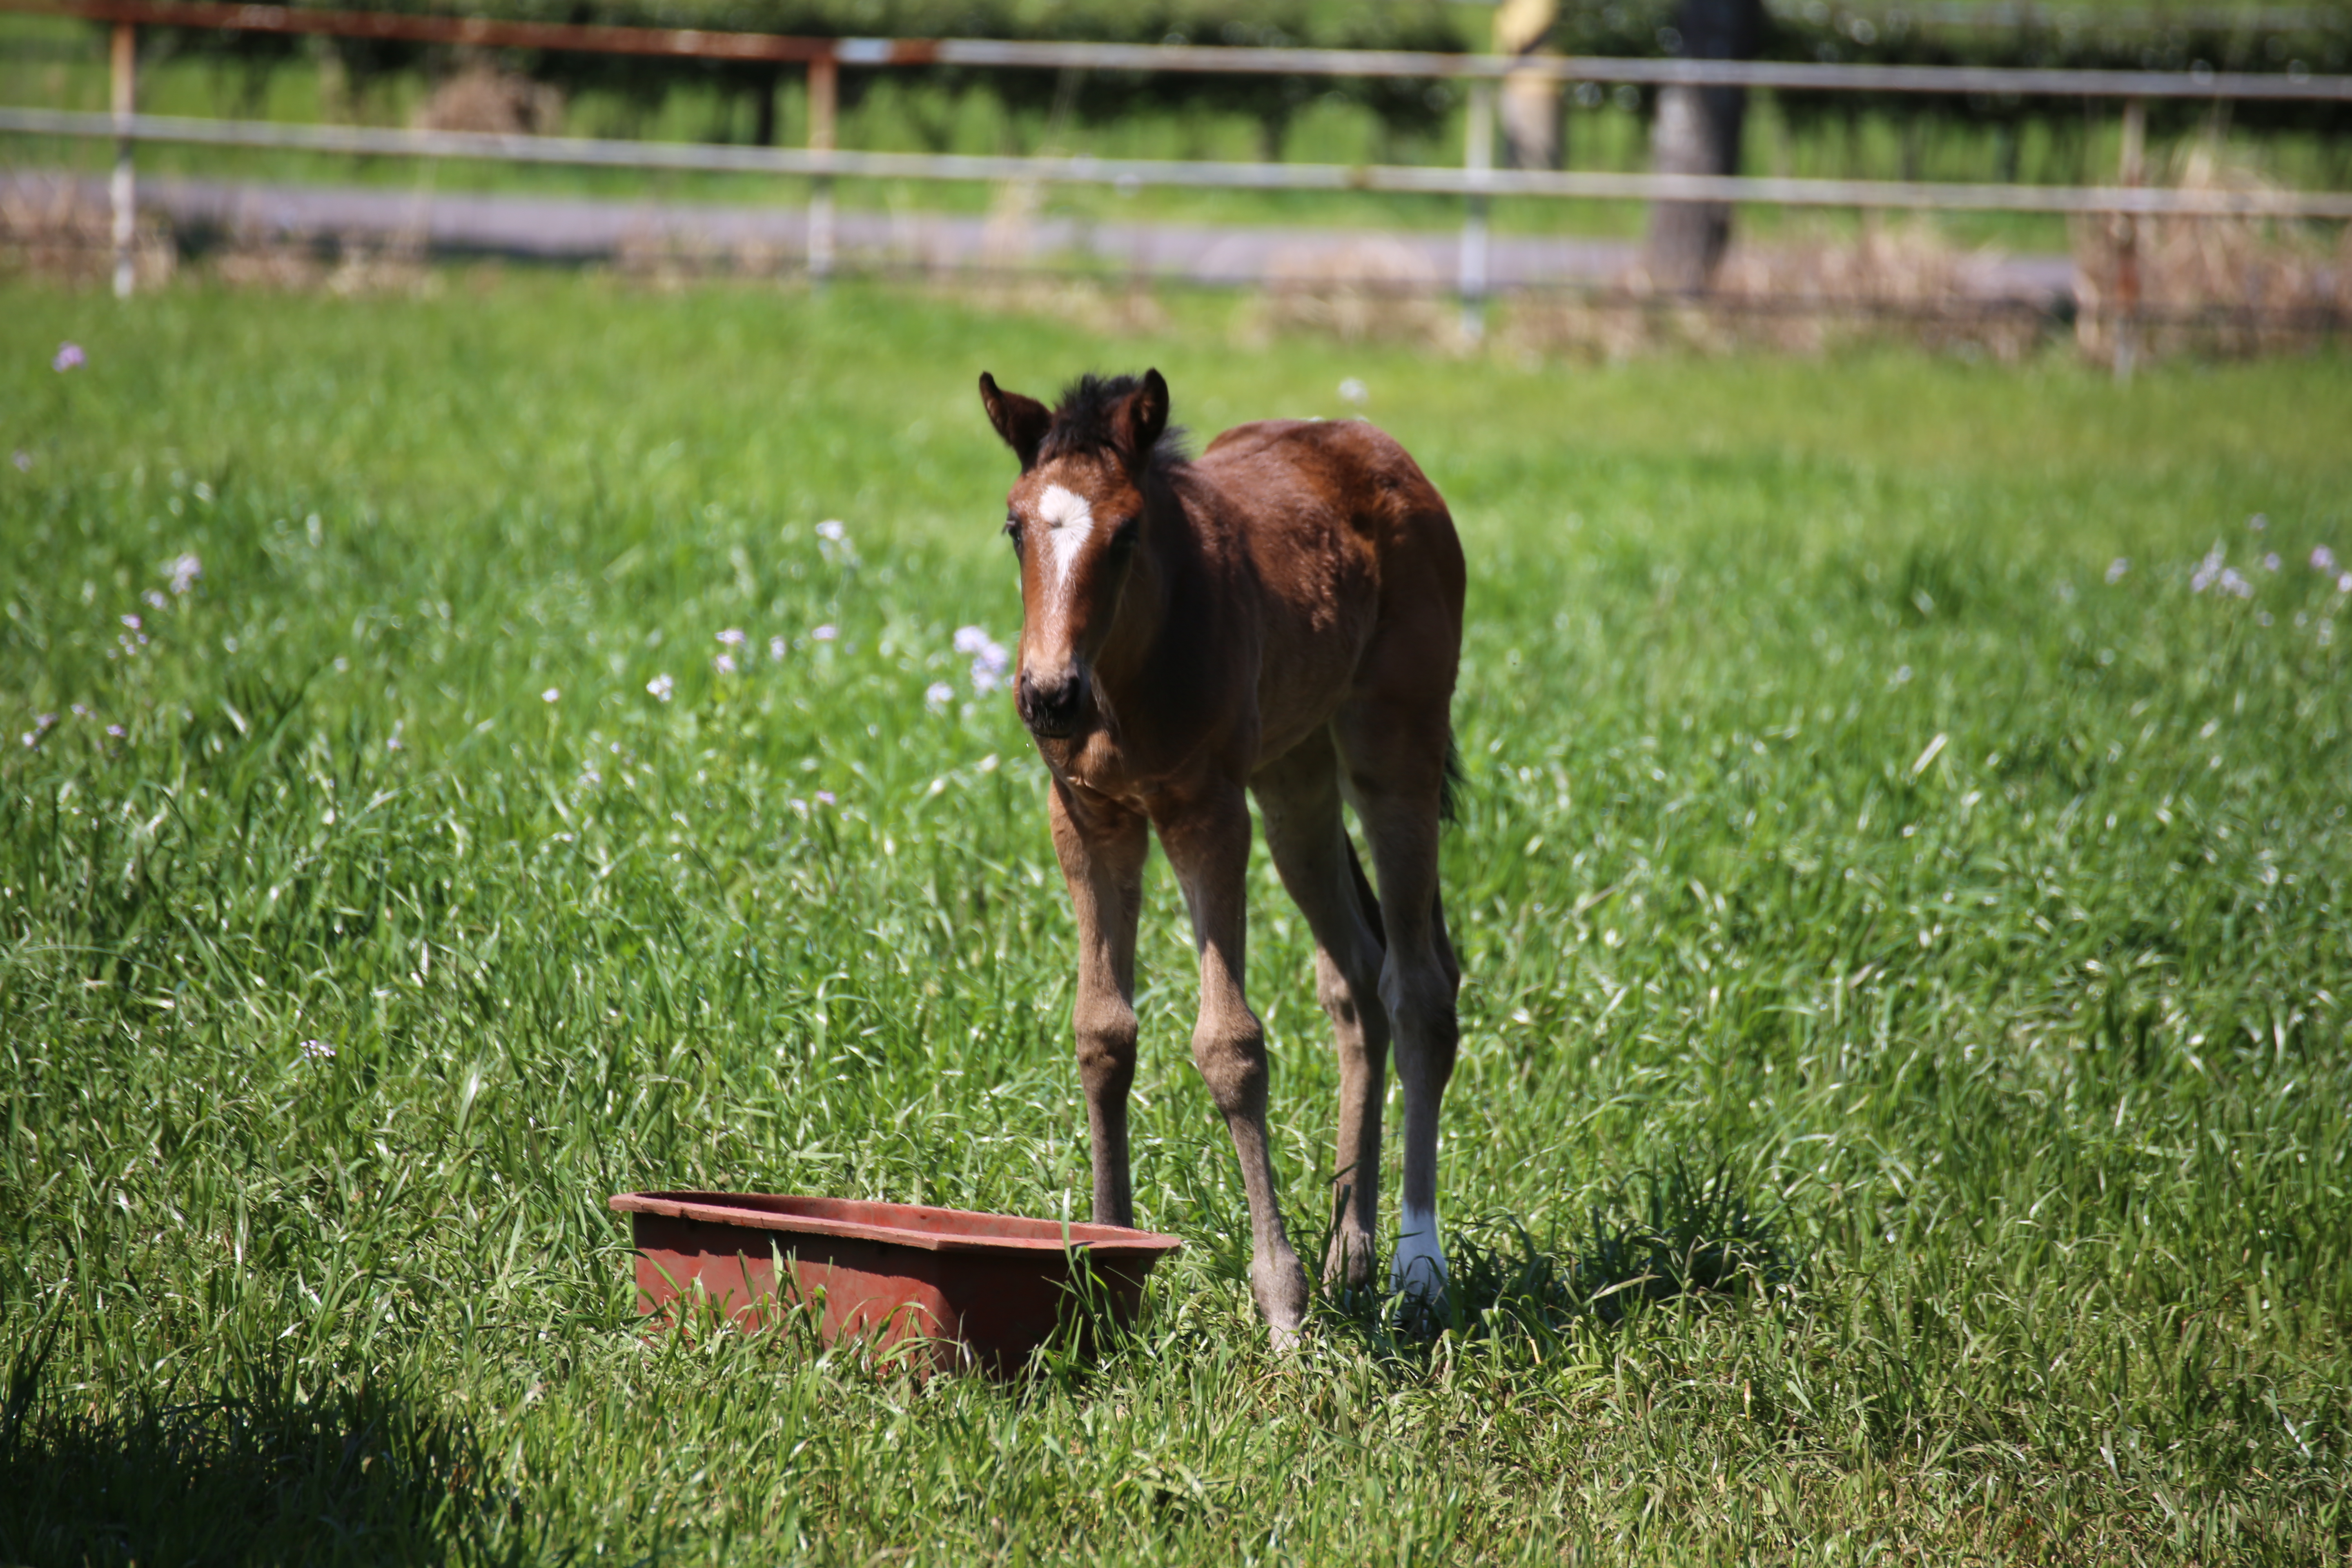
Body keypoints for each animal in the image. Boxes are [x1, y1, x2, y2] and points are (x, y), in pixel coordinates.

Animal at [969, 371, 1449, 1354]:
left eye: (1126, 533)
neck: (1125, 674)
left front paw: (1283, 1308)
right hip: (1294, 779)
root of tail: (1378, 449)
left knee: (1417, 987)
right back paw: (1352, 1254)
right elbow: (1102, 1031)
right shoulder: (1088, 815)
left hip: (1393, 750)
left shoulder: (1207, 813)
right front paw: (1103, 1270)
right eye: (1014, 525)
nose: (1048, 696)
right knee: (1356, 980)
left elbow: (1230, 1047)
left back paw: (1417, 1269)